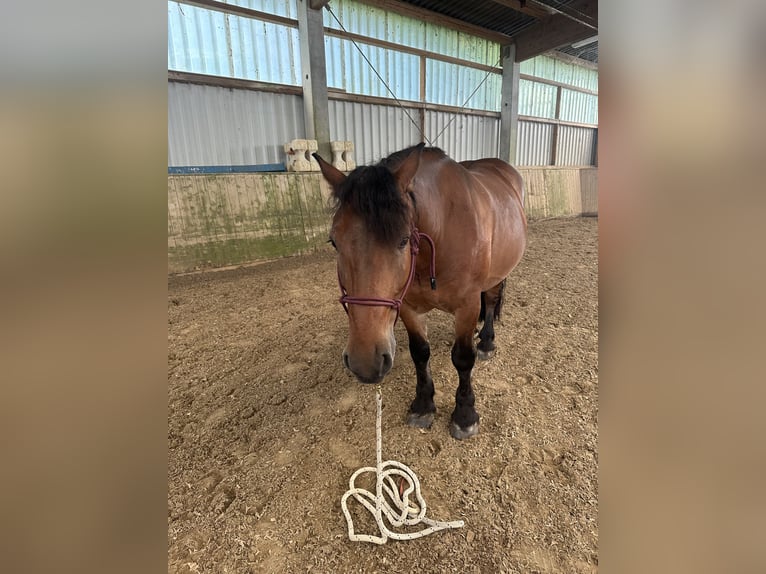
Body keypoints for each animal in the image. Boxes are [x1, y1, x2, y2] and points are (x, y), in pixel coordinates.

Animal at [313, 143, 527, 439]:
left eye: (404, 240)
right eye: (334, 242)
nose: (364, 362)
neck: (441, 232)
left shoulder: (467, 305)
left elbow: (463, 358)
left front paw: (465, 415)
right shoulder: (408, 307)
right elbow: (420, 352)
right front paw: (423, 405)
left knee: (493, 300)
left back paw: (486, 341)